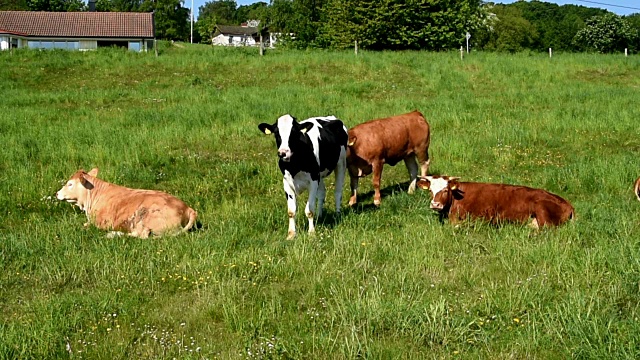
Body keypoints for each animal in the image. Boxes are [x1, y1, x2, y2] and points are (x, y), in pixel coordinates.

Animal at [57, 169, 198, 239]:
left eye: (70, 184)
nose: (57, 193)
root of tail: (188, 208)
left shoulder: (102, 223)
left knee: (141, 235)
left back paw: (113, 234)